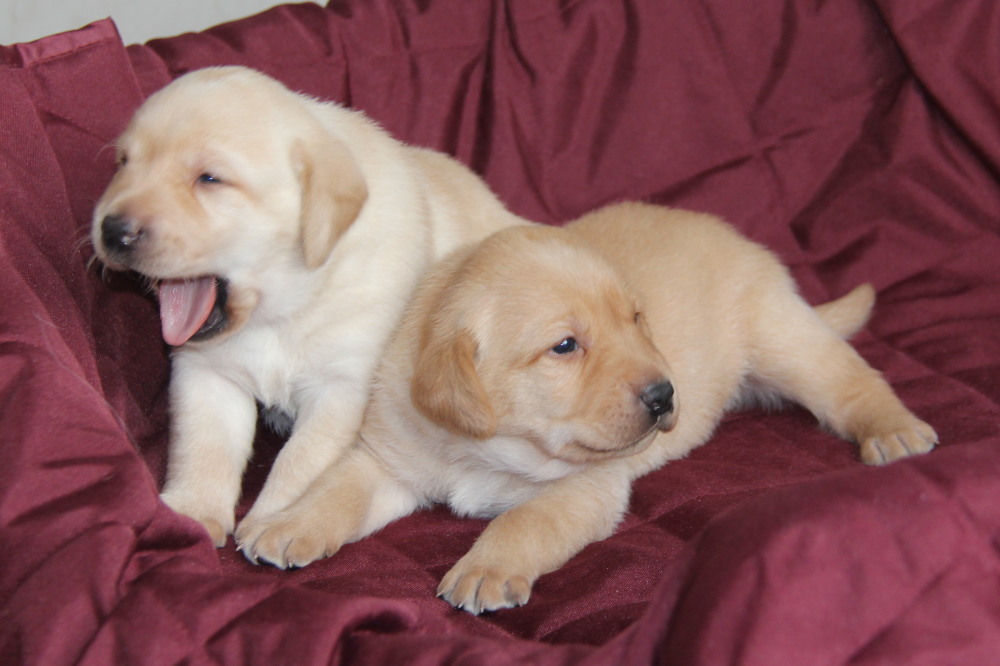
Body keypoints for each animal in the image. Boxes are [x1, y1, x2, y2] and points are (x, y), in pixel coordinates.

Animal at [92, 66, 524, 544]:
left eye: (209, 179)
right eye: (123, 163)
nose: (113, 231)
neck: (281, 309)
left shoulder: (342, 387)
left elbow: (302, 461)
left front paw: (274, 522)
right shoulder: (207, 373)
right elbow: (203, 446)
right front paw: (193, 512)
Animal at [236, 202, 936, 612]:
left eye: (636, 320)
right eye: (566, 346)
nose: (666, 395)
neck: (490, 447)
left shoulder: (586, 488)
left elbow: (523, 521)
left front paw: (486, 569)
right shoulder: (389, 458)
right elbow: (339, 488)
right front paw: (288, 523)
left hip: (783, 339)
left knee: (852, 380)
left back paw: (895, 431)